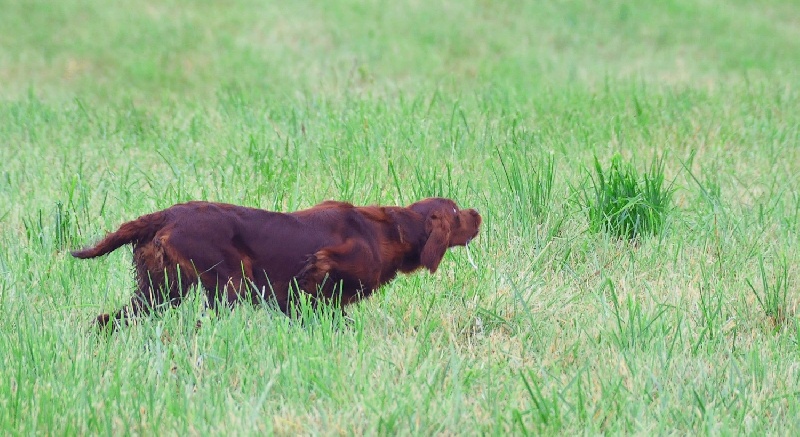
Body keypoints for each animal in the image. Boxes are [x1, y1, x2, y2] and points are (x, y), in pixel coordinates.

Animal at [72, 198, 482, 328]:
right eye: (457, 212)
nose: (479, 214)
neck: (393, 231)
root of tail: (166, 214)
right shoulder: (317, 273)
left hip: (158, 291)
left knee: (108, 319)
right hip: (229, 284)